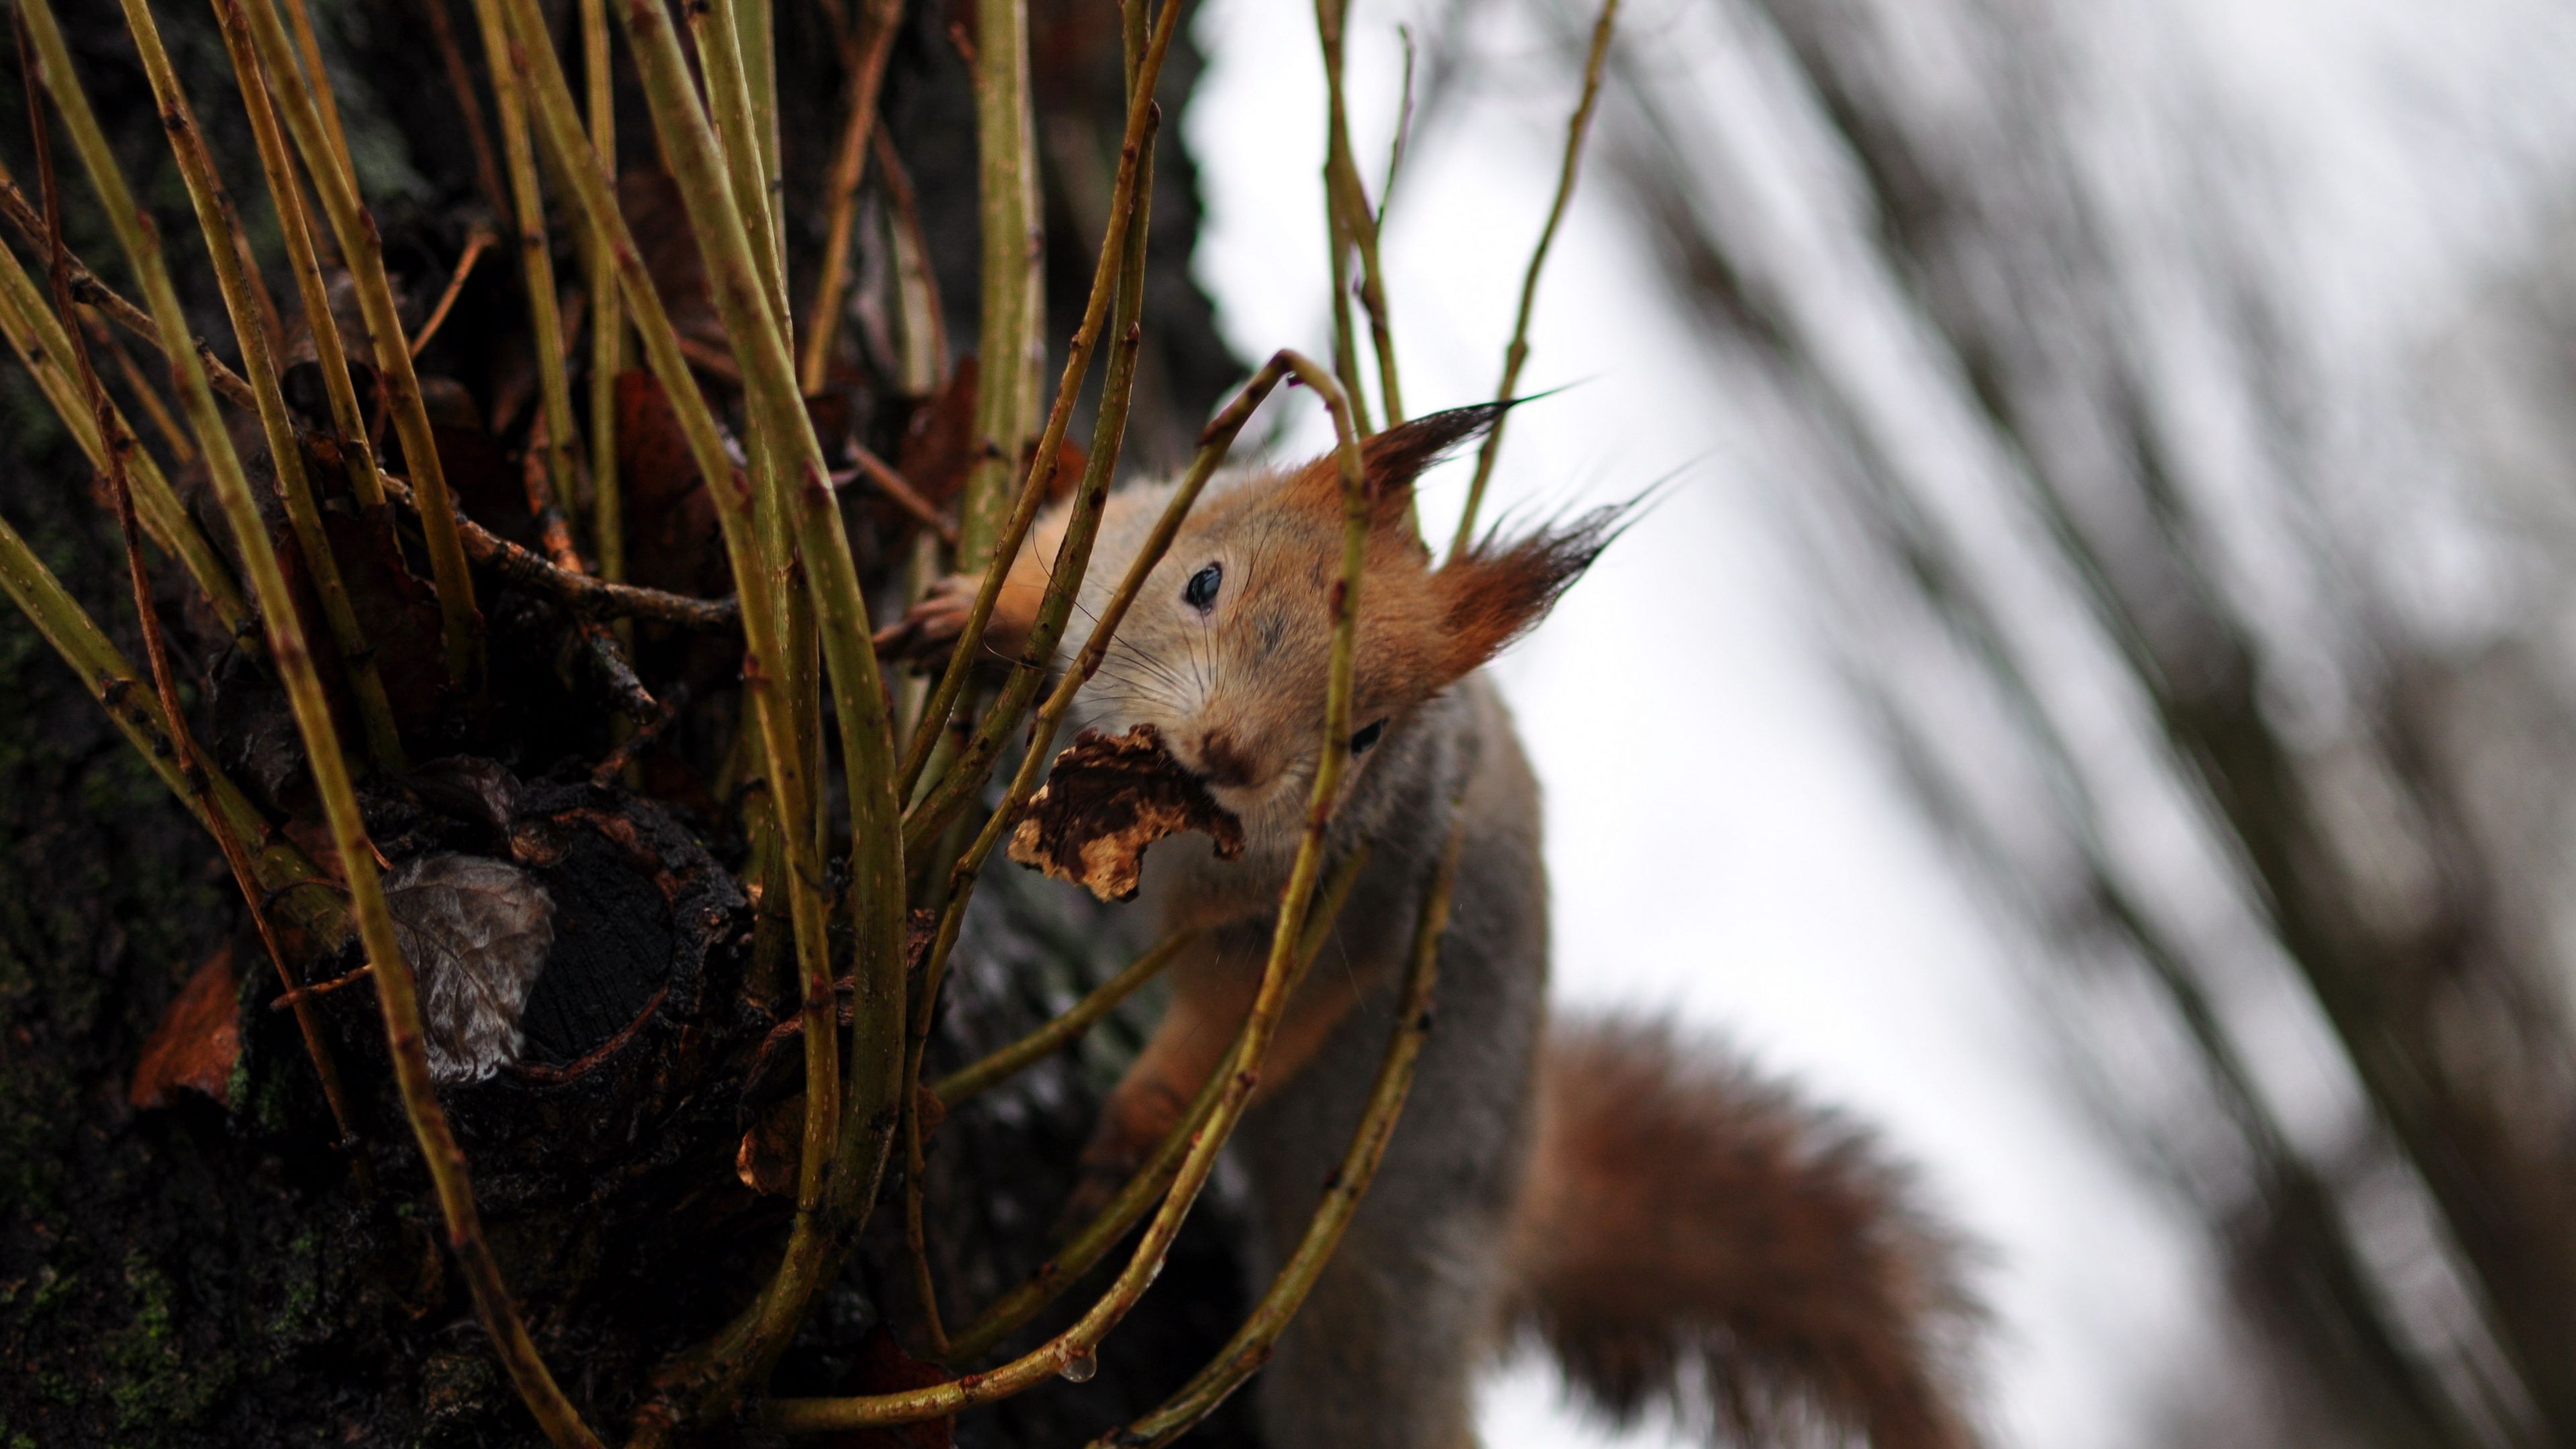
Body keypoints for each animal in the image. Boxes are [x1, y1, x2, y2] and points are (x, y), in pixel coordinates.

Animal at [895, 403, 1986, 1449]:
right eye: (1202, 580)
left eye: (1371, 735)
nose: (1232, 754)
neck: (1167, 823)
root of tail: (1515, 1209)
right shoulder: (1127, 536)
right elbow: (1054, 561)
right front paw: (967, 614)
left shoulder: (1342, 915)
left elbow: (1228, 1037)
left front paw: (1126, 1137)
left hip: (1377, 1306)